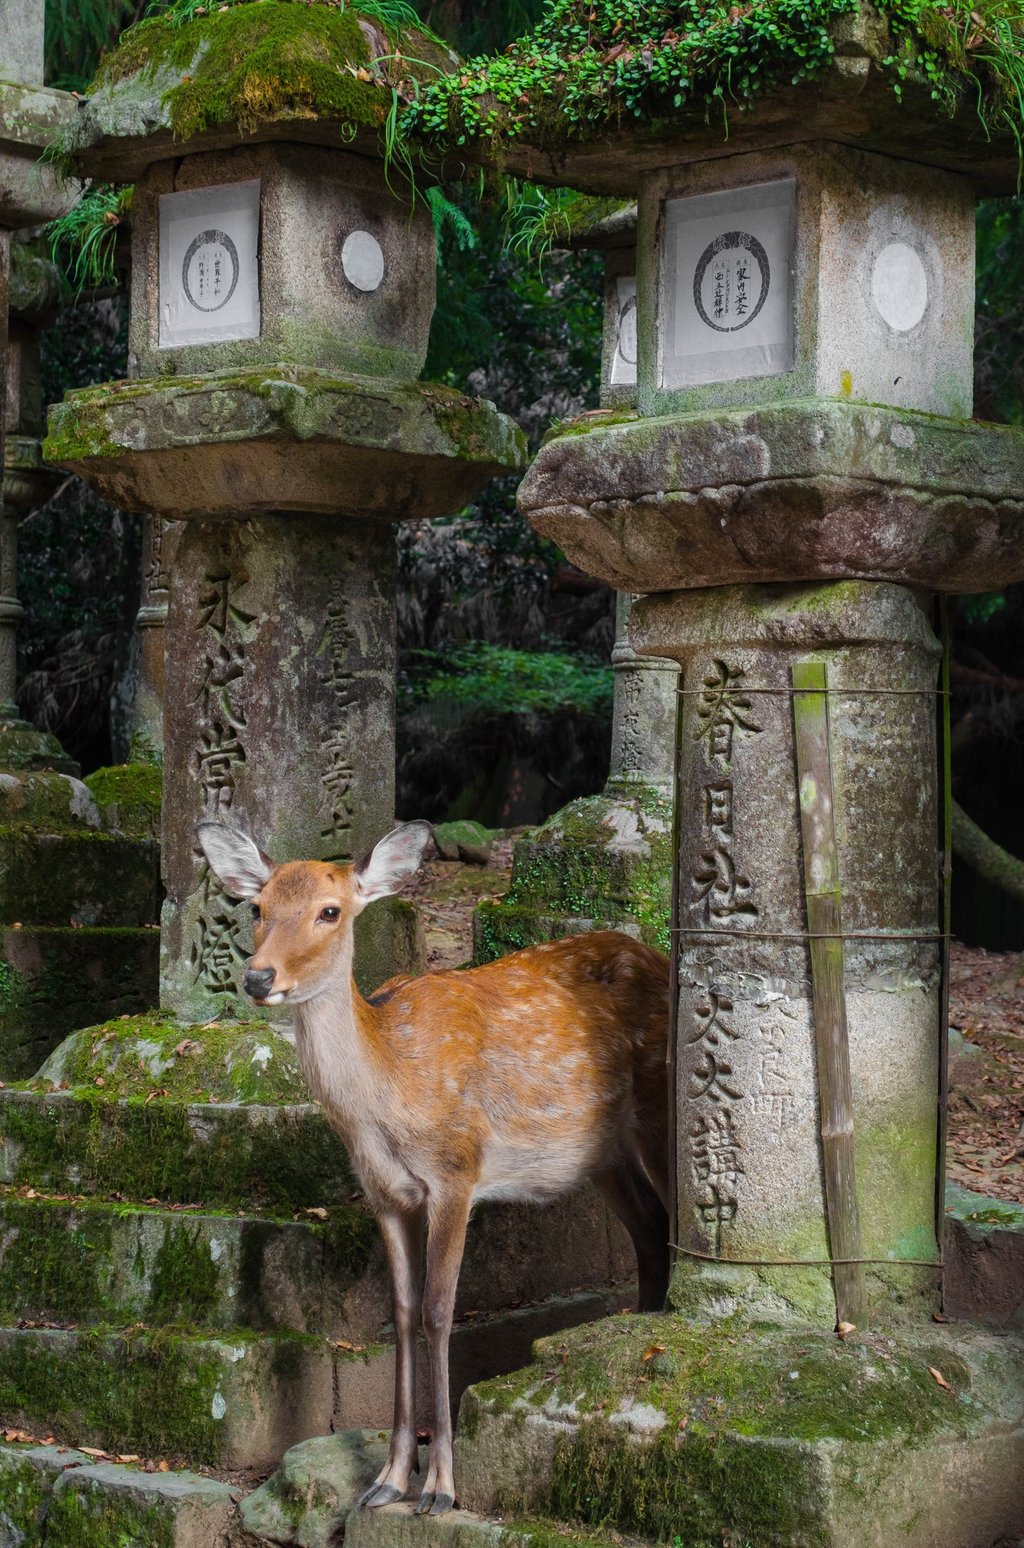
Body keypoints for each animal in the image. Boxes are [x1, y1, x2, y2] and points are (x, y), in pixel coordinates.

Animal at [197, 819, 670, 1517]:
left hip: (662, 1108)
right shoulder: (385, 1193)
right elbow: (401, 1310)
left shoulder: (457, 1171)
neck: (387, 1101)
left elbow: (441, 1311)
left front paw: (441, 1487)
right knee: (651, 1230)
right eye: (256, 908)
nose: (258, 978)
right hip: (601, 1152)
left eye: (329, 911)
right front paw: (388, 1479)